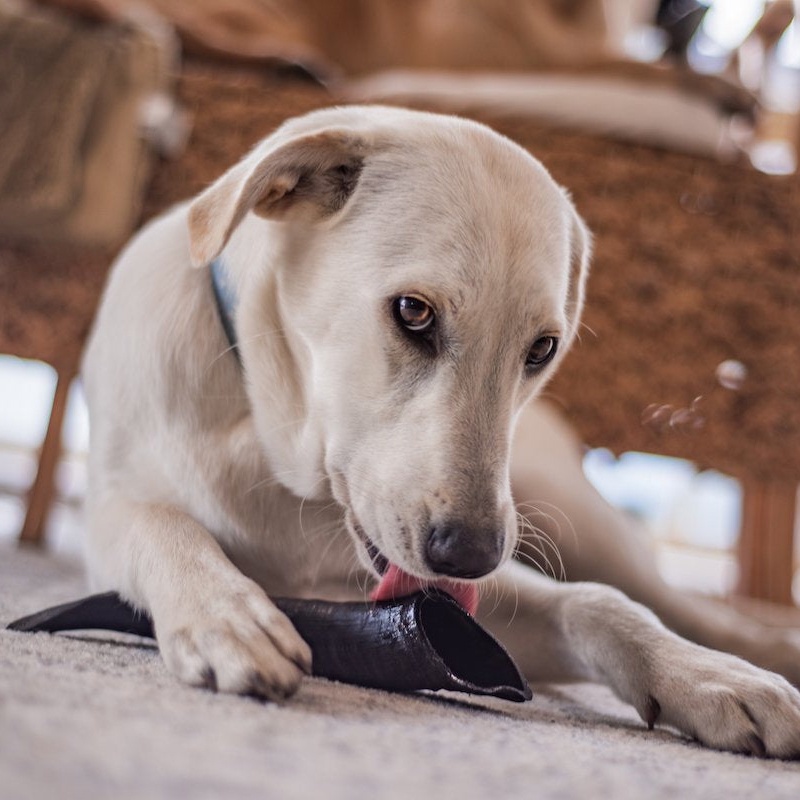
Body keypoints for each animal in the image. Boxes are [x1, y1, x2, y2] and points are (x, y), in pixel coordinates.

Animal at [81, 104, 800, 756]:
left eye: (542, 348)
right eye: (413, 312)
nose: (470, 554)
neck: (269, 445)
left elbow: (598, 603)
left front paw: (710, 678)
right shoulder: (115, 505)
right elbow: (157, 521)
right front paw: (226, 614)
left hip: (574, 513)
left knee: (674, 599)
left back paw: (764, 647)